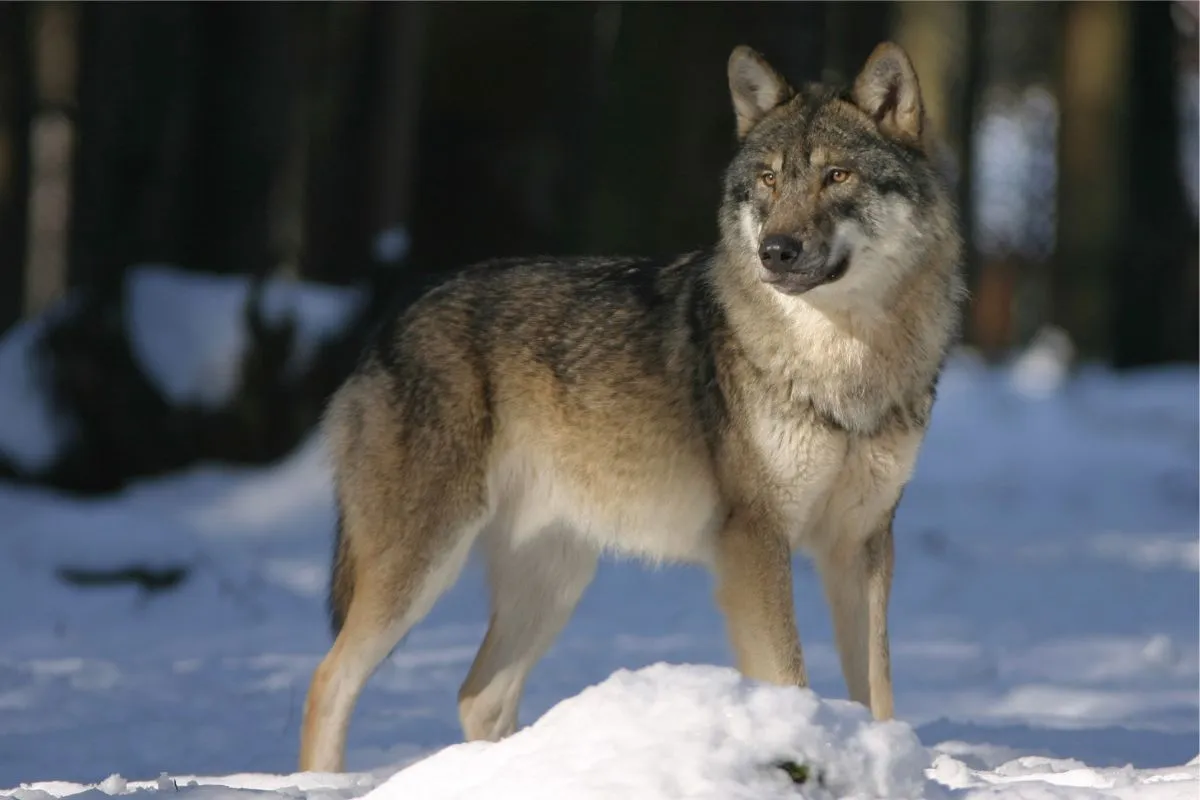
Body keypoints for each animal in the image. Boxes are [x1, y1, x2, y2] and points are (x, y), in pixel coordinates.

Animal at [297, 40, 964, 772]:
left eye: (837, 176)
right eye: (767, 180)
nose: (775, 252)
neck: (842, 365)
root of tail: (389, 322)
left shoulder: (862, 544)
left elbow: (877, 692)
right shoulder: (756, 541)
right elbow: (790, 676)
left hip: (555, 579)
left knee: (478, 695)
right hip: (422, 565)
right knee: (329, 678)